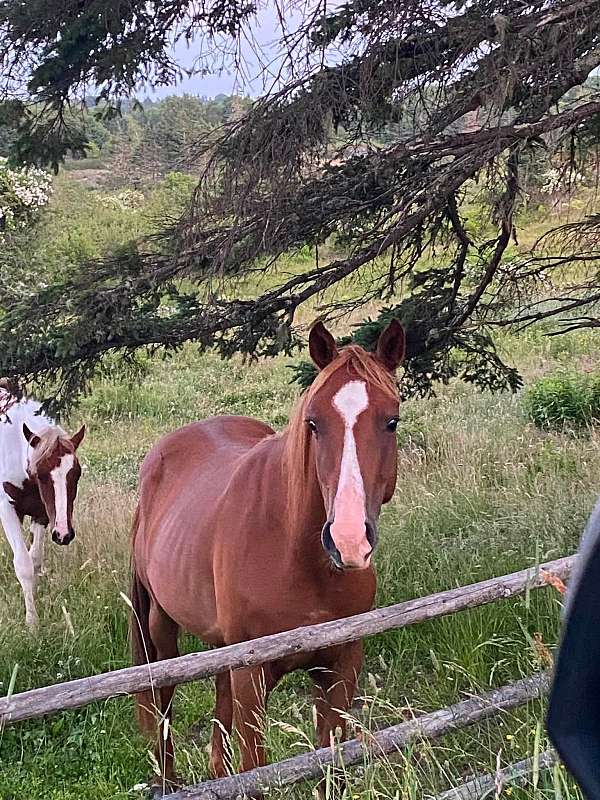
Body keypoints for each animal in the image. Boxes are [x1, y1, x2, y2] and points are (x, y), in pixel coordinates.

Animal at [0, 388, 85, 627]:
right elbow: (23, 564)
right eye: (41, 474)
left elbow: (35, 561)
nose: (64, 534)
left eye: (77, 473)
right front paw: (32, 623)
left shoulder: (42, 514)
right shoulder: (7, 509)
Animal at [130, 319, 405, 789]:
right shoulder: (251, 677)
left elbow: (330, 764)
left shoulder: (341, 667)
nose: (348, 539)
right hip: (162, 631)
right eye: (313, 422)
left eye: (391, 420)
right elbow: (254, 769)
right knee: (163, 704)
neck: (299, 560)